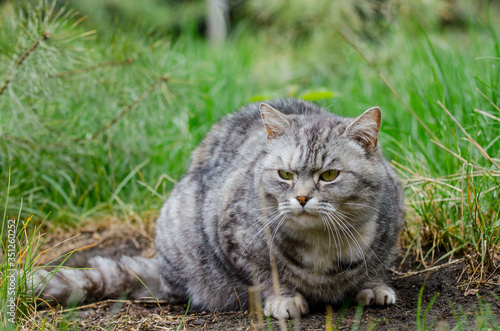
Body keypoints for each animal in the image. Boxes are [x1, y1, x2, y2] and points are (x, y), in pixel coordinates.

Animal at [33, 98, 404, 320]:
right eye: (285, 175)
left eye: (329, 175)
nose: (300, 198)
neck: (322, 242)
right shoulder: (239, 239)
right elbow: (269, 273)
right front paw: (284, 299)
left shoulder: (392, 223)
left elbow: (373, 265)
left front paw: (372, 287)